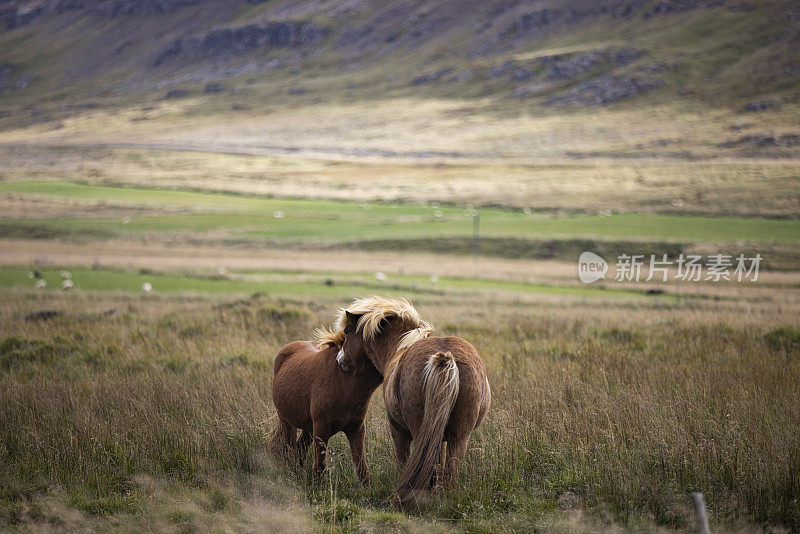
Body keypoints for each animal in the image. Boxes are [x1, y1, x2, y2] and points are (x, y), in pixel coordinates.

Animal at [270, 344, 382, 486]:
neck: (345, 381)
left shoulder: (356, 429)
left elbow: (362, 468)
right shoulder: (321, 430)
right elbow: (320, 467)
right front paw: (317, 489)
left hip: (308, 428)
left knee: (300, 448)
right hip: (286, 421)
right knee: (290, 447)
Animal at [316, 300, 490, 508]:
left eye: (348, 331)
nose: (340, 360)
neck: (399, 346)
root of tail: (444, 357)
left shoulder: (398, 432)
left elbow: (404, 461)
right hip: (460, 436)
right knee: (450, 470)